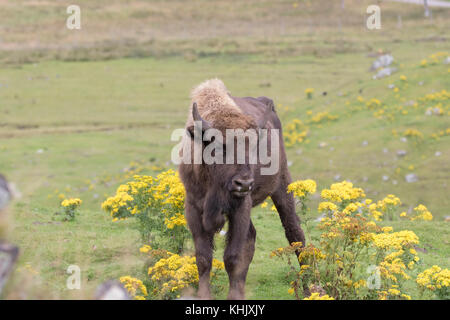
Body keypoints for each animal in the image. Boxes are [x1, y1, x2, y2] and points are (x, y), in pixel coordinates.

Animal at [178, 79, 304, 298]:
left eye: (253, 147)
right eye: (219, 147)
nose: (244, 184)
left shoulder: (240, 208)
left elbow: (233, 257)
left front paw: (234, 295)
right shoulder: (193, 208)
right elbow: (203, 258)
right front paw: (205, 295)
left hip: (282, 186)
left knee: (294, 233)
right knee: (252, 237)